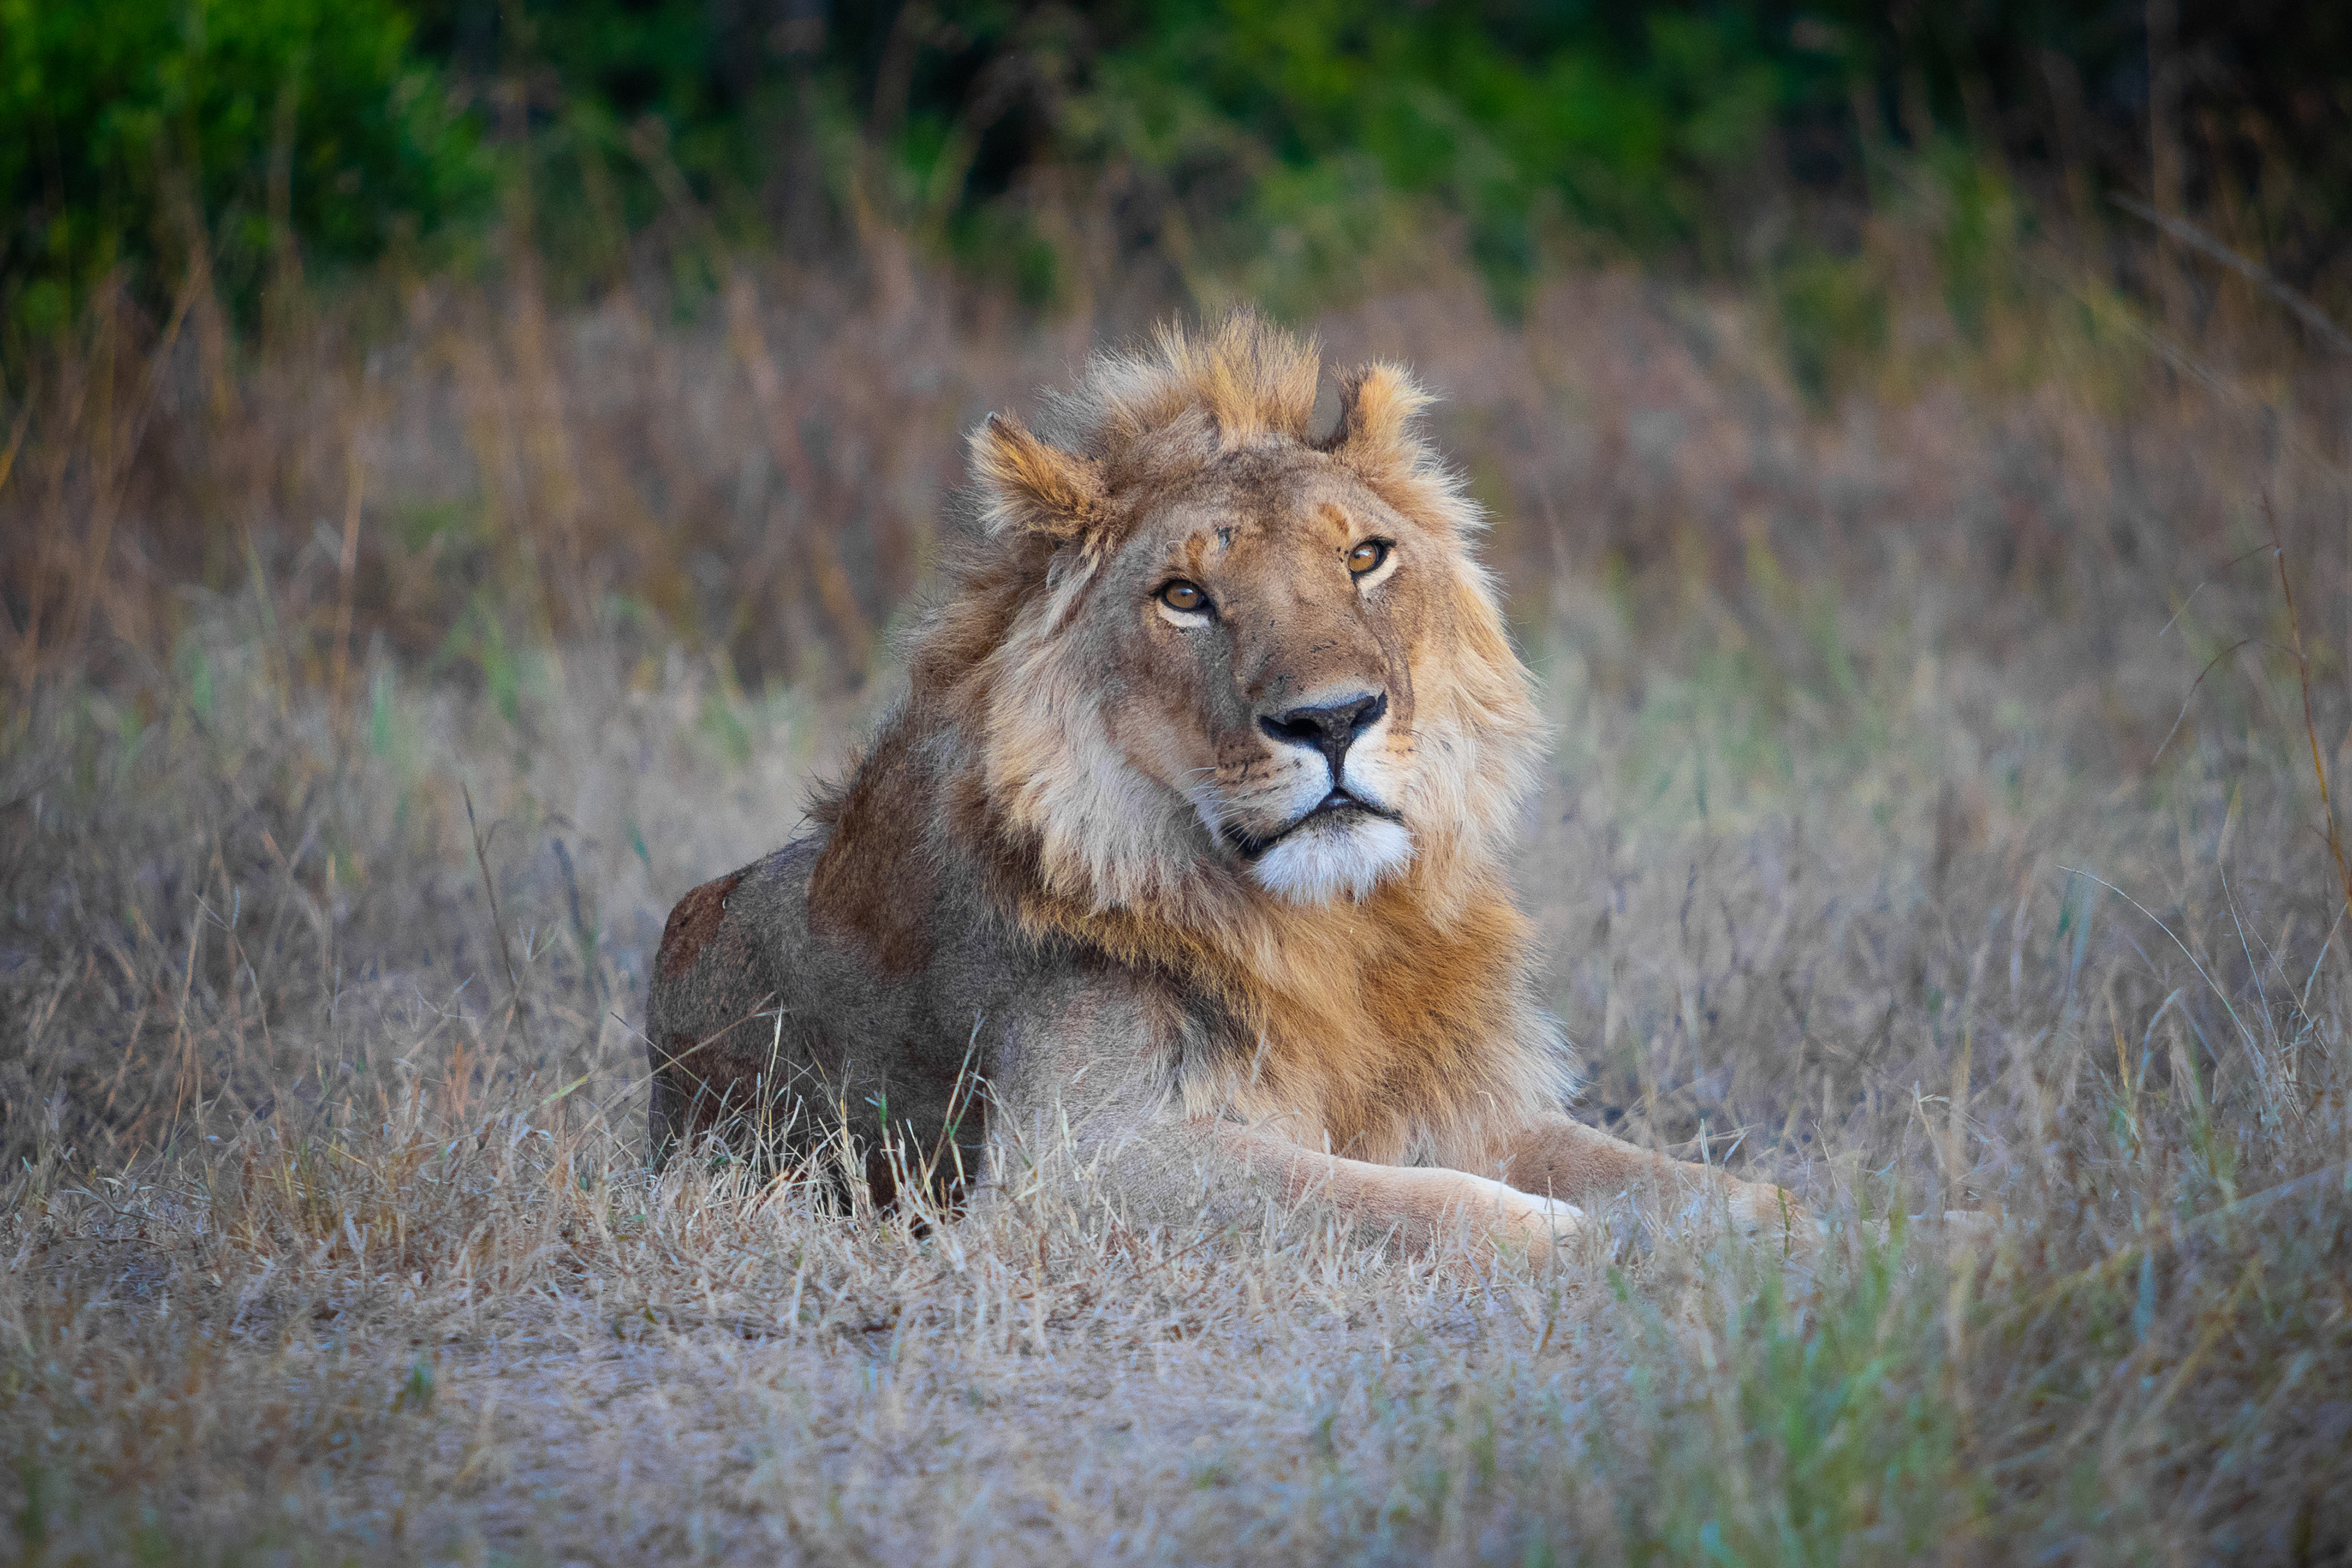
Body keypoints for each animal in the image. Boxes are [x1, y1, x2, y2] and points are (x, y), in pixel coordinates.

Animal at [654, 312, 1806, 1260]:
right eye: (1184, 597)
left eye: (1366, 557)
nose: (1333, 720)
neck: (1339, 934)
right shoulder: (1076, 1166)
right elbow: (1381, 1195)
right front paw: (1555, 1234)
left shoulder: (1469, 1102)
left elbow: (1667, 1178)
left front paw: (1797, 1232)